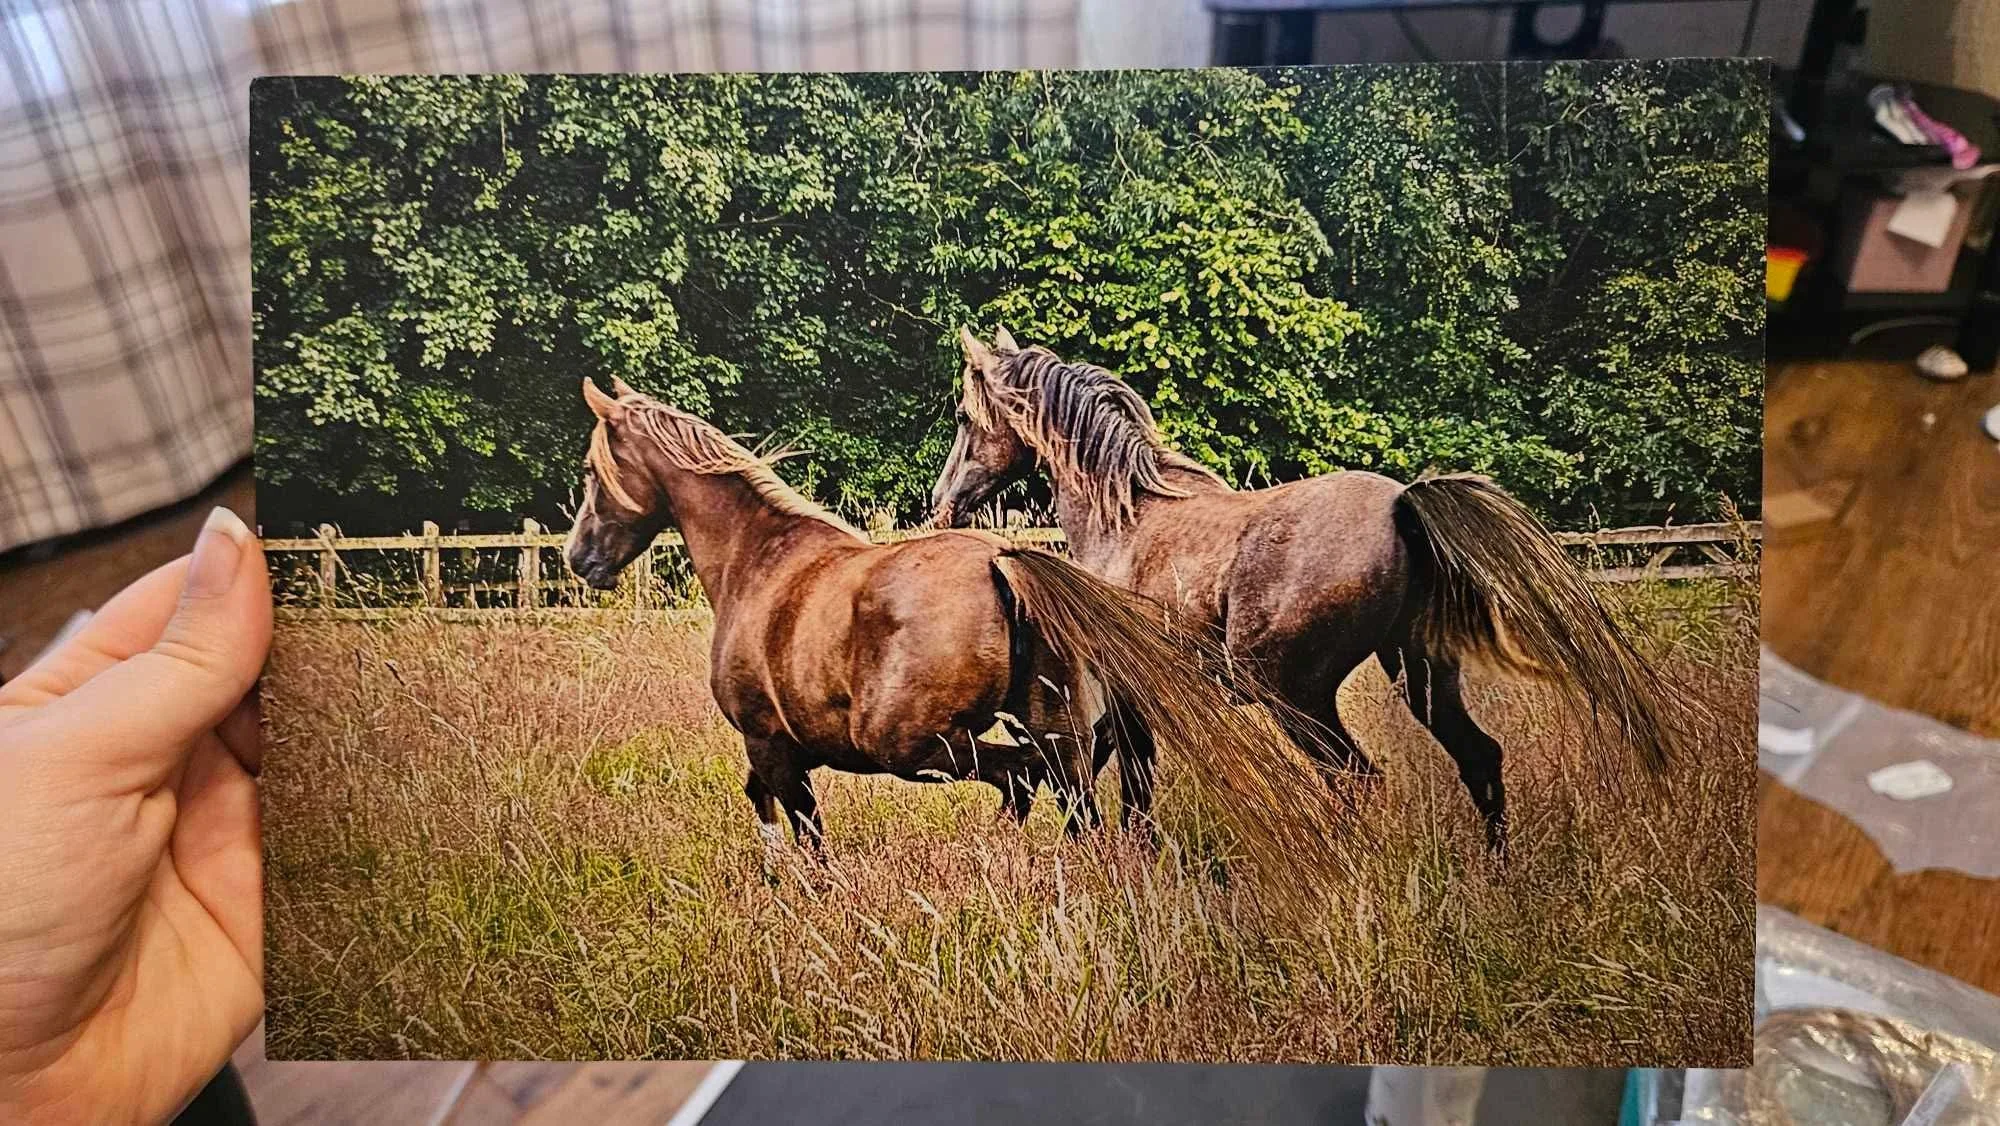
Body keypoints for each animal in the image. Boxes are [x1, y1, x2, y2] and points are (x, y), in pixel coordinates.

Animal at [564, 377, 1284, 851]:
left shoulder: (768, 745)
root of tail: (1005, 560)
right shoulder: (774, 753)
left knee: (1021, 778)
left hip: (910, 746)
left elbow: (802, 836)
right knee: (1066, 797)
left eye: (592, 472)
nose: (579, 557)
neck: (759, 557)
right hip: (1051, 726)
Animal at [930, 329, 1688, 854]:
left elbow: (1123, 785)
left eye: (965, 417)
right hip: (1420, 673)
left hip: (1297, 694)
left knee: (1357, 779)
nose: (942, 504)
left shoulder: (1126, 690)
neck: (1129, 517)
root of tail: (1403, 504)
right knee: (1480, 759)